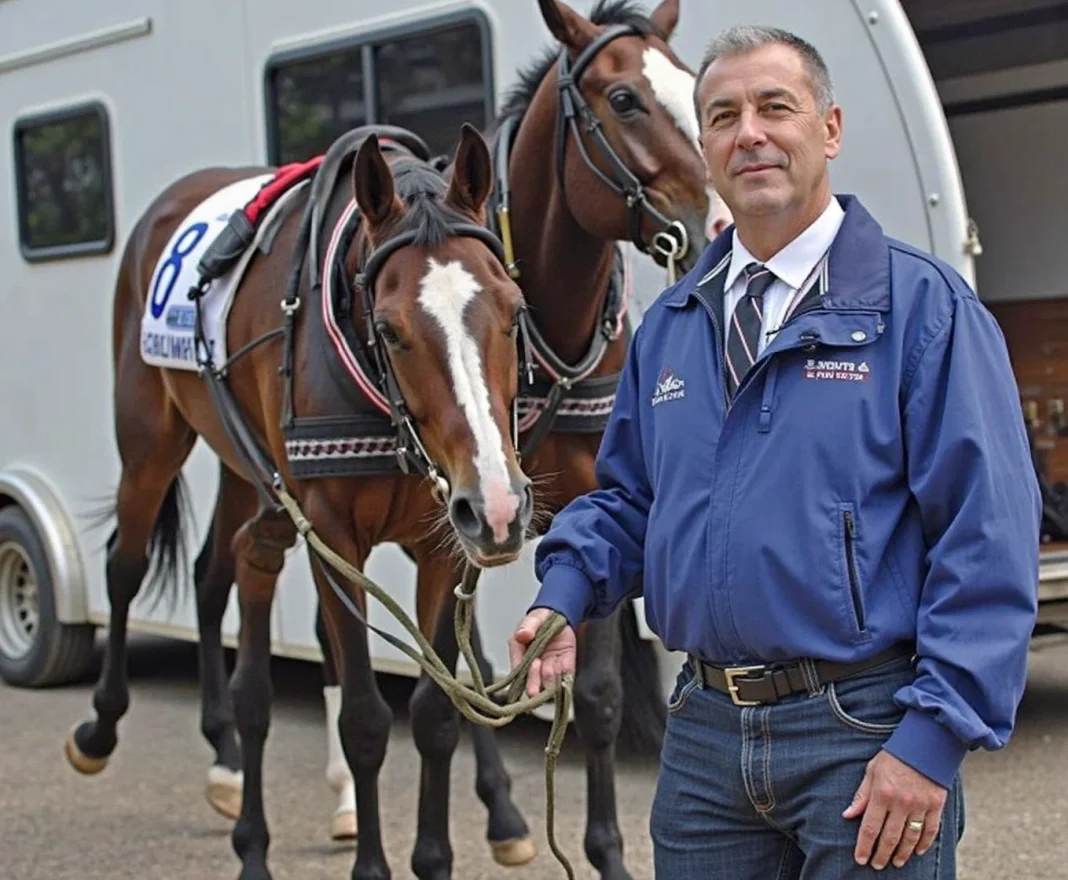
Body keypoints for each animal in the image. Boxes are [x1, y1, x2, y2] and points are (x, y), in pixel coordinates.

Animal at [61, 123, 538, 880]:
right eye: (391, 328)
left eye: (514, 312)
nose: (498, 503)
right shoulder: (334, 534)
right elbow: (365, 719)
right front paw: (371, 865)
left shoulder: (441, 541)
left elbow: (437, 713)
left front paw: (434, 857)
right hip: (148, 440)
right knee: (124, 564)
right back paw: (100, 728)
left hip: (246, 467)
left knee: (218, 571)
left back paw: (226, 759)